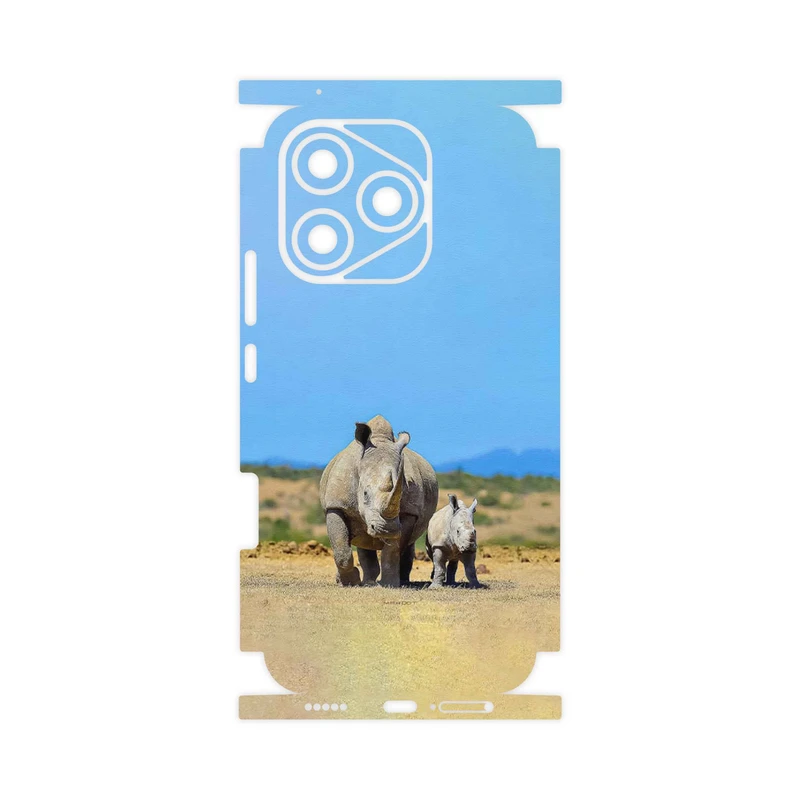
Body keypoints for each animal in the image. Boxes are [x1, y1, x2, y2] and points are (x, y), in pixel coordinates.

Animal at [319, 415, 438, 587]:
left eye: (400, 495)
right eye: (365, 494)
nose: (387, 529)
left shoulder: (409, 512)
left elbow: (393, 550)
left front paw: (390, 584)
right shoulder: (336, 505)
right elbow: (341, 549)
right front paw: (350, 582)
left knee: (407, 544)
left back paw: (400, 581)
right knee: (362, 541)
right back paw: (365, 582)